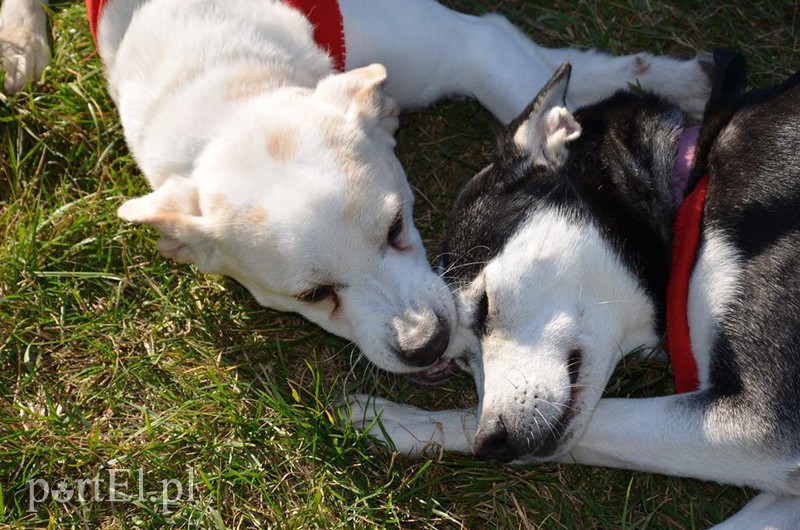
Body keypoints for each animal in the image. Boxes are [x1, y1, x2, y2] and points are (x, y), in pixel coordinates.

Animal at [1, 1, 712, 380]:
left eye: (397, 227)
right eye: (313, 296)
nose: (426, 344)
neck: (238, 86)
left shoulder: (465, 43)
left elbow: (536, 90)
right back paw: (19, 43)